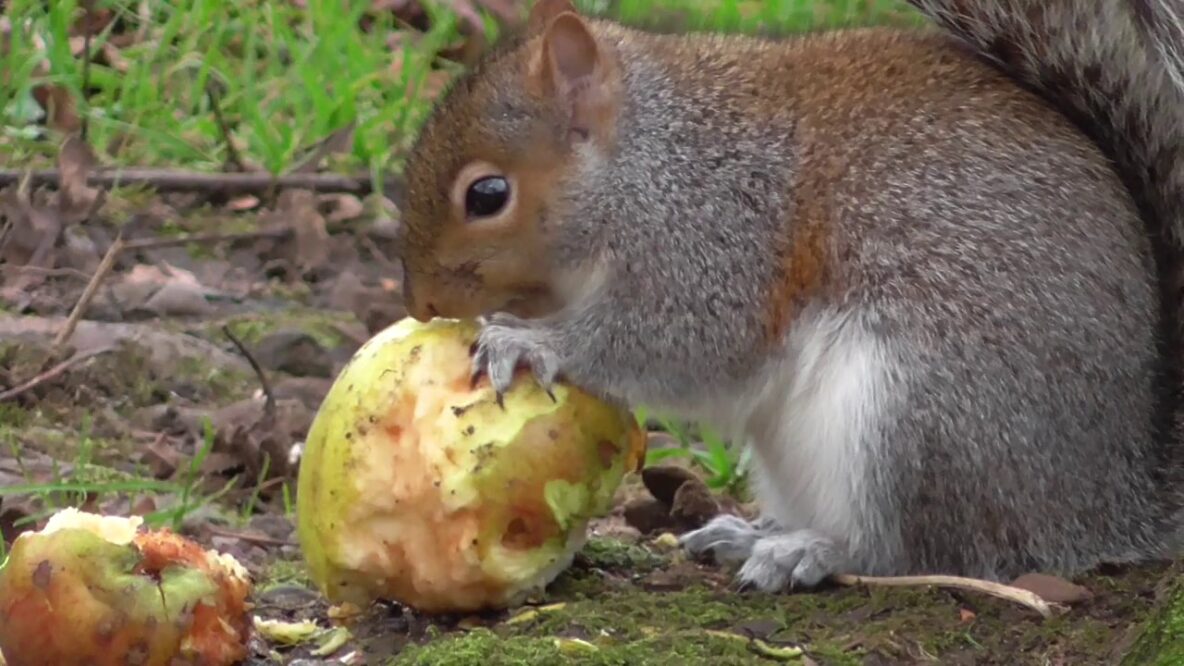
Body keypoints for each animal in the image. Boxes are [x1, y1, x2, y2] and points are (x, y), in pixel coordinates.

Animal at [395, 0, 1184, 592]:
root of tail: (1111, 499)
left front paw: (529, 341)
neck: (647, 159)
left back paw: (808, 552)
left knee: (920, 551)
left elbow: (677, 344)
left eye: (487, 195)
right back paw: (753, 532)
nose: (422, 304)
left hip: (918, 415)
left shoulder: (719, 240)